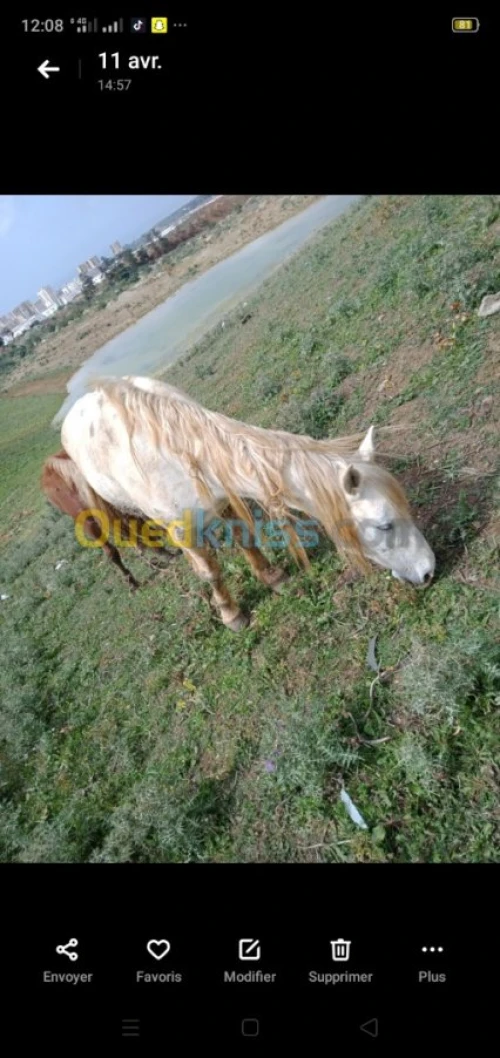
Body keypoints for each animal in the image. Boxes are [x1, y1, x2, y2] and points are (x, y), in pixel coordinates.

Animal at [57, 374, 435, 631]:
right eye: (384, 525)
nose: (428, 570)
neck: (184, 453)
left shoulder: (226, 500)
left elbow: (246, 541)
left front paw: (273, 577)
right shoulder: (181, 528)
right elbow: (210, 572)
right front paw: (231, 613)